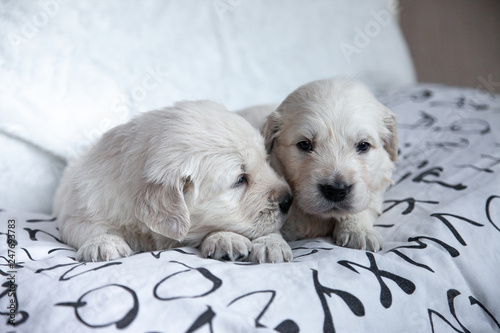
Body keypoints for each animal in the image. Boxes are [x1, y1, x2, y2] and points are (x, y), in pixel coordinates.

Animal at [53, 100, 292, 262]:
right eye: (240, 180)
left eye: (266, 160)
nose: (288, 200)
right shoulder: (77, 207)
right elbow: (90, 227)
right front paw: (102, 244)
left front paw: (231, 239)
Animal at [238, 78, 398, 249]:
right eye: (304, 144)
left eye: (363, 145)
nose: (336, 190)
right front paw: (271, 243)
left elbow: (364, 204)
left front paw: (359, 230)